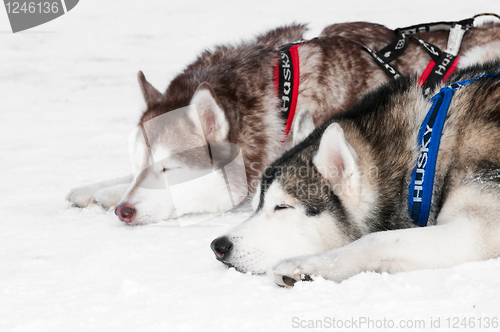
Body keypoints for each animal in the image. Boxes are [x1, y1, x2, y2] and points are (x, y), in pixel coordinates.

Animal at [210, 61, 500, 286]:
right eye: (256, 206)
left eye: (282, 207)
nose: (219, 246)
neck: (427, 153)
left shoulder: (477, 231)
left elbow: (377, 241)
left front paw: (307, 266)